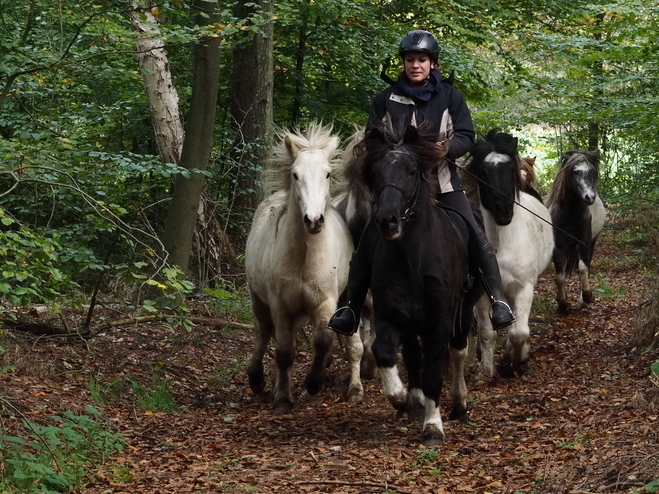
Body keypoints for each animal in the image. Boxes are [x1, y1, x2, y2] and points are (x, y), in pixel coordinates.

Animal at [245, 121, 364, 414]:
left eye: (327, 174)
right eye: (296, 175)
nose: (313, 220)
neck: (304, 258)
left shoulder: (326, 302)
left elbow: (322, 341)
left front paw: (313, 383)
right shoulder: (281, 307)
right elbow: (284, 352)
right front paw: (282, 399)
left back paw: (353, 389)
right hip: (257, 298)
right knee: (264, 332)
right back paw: (257, 379)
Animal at [348, 122, 482, 444]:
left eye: (411, 171)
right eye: (376, 173)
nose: (387, 221)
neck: (413, 260)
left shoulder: (440, 321)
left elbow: (434, 371)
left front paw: (433, 427)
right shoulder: (390, 315)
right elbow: (386, 352)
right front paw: (401, 397)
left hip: (464, 310)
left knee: (457, 351)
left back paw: (459, 403)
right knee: (411, 355)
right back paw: (416, 401)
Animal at [464, 129, 556, 376]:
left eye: (510, 170)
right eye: (483, 173)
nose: (503, 211)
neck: (503, 242)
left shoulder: (523, 287)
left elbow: (518, 332)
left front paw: (518, 358)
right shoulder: (485, 294)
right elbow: (487, 333)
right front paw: (486, 371)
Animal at [548, 150, 608, 312]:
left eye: (592, 171)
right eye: (575, 171)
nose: (590, 197)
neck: (570, 214)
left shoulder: (584, 243)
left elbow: (582, 269)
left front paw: (588, 296)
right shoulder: (559, 247)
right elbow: (559, 276)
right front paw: (562, 303)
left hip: (592, 243)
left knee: (585, 267)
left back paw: (583, 301)